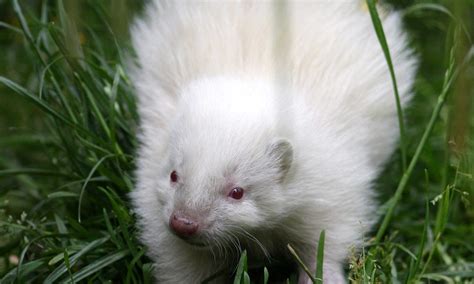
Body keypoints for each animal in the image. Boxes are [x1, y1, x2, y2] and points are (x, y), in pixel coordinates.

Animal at [129, 1, 414, 282]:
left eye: (237, 192)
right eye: (174, 175)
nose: (184, 223)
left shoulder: (331, 187)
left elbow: (328, 239)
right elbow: (183, 262)